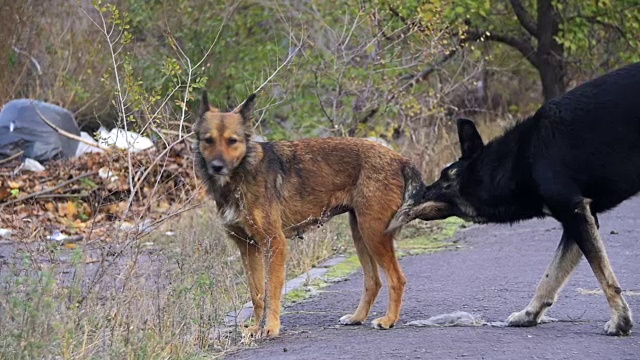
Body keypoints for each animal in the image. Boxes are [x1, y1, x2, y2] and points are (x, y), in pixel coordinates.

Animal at [192, 90, 428, 338]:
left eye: (232, 141)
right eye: (208, 140)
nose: (217, 166)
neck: (242, 173)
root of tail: (399, 159)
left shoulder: (274, 243)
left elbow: (271, 291)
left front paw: (270, 327)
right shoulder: (247, 247)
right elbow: (257, 295)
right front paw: (256, 328)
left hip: (373, 233)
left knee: (396, 279)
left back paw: (389, 320)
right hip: (361, 235)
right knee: (373, 281)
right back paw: (357, 317)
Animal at [388, 61, 640, 334]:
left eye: (445, 179)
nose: (417, 193)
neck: (514, 162)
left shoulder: (575, 212)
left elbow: (603, 275)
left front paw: (620, 320)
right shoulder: (580, 218)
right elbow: (550, 277)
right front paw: (529, 314)